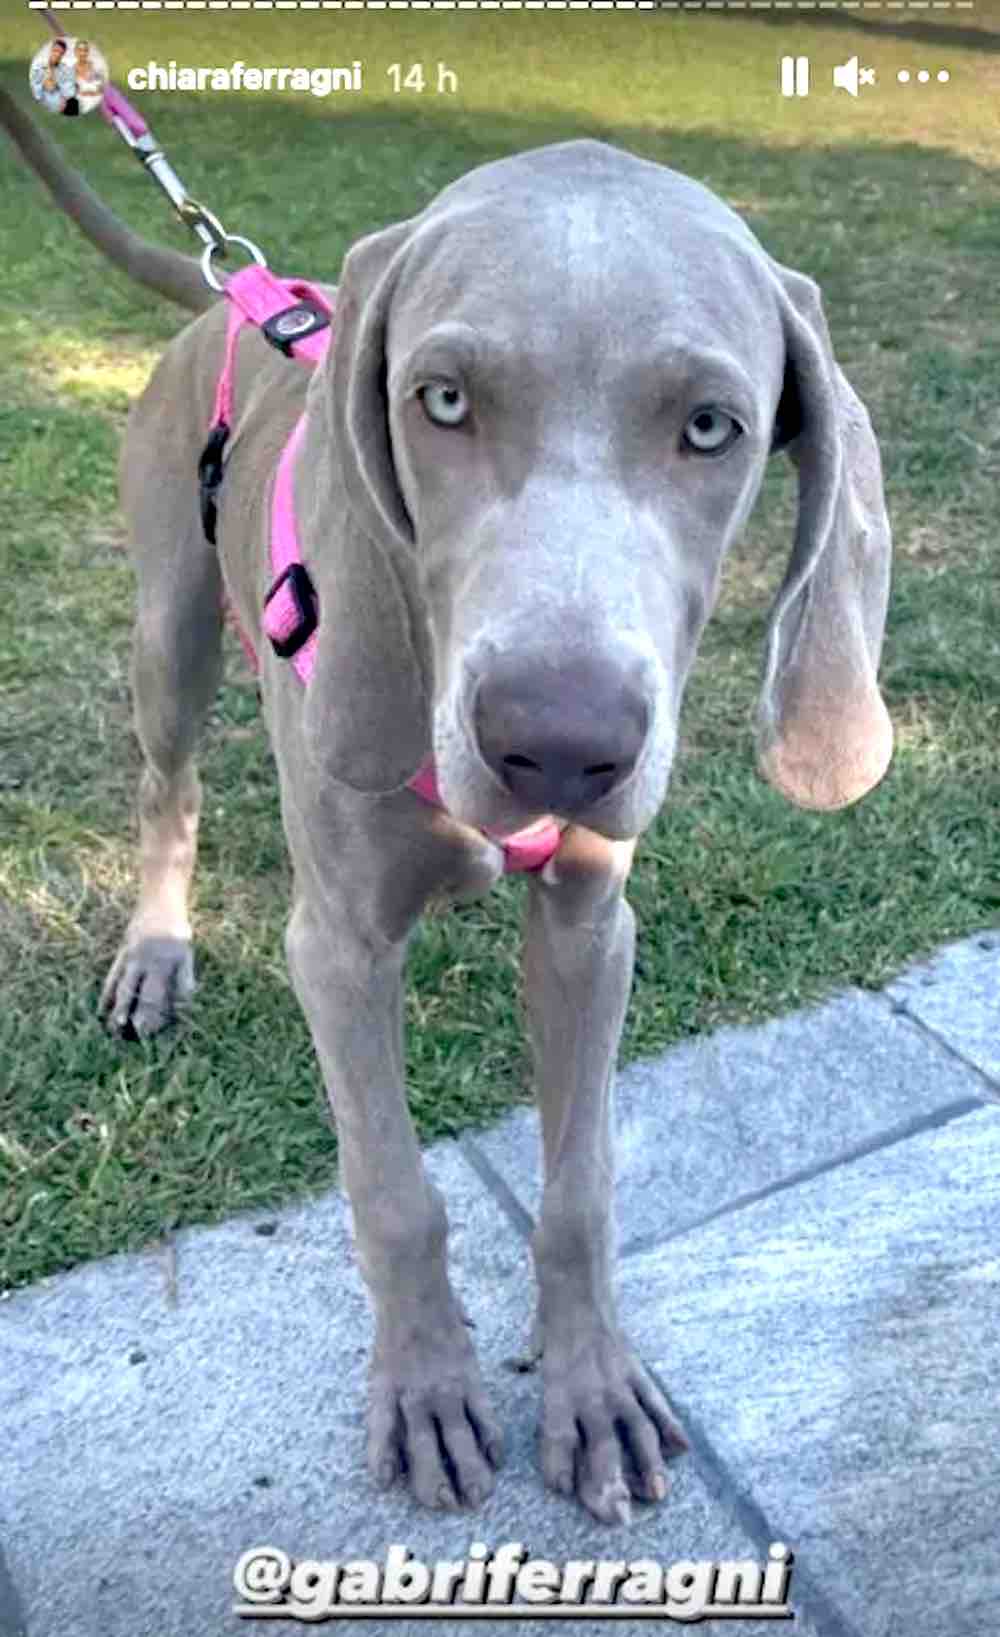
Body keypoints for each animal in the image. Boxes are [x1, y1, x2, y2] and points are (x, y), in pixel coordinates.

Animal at [3, 102, 896, 1525]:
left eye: (711, 426)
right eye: (444, 399)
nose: (559, 748)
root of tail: (242, 293)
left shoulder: (591, 924)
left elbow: (580, 1186)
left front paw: (593, 1390)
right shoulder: (337, 946)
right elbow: (392, 1190)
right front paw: (426, 1391)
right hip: (168, 630)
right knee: (167, 783)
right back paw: (154, 954)